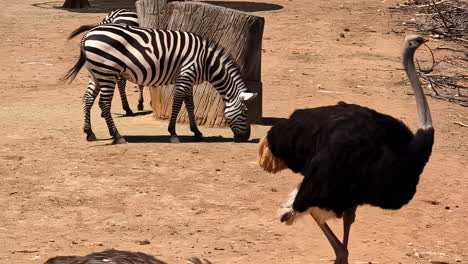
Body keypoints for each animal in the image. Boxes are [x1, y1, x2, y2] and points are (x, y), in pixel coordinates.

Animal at [62, 24, 258, 144]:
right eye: (244, 112)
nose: (246, 137)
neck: (206, 62)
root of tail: (89, 33)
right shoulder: (186, 74)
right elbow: (177, 104)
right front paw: (173, 133)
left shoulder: (188, 80)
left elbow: (190, 105)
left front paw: (196, 131)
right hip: (107, 72)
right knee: (103, 104)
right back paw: (117, 136)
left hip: (96, 73)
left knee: (87, 99)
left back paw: (89, 133)